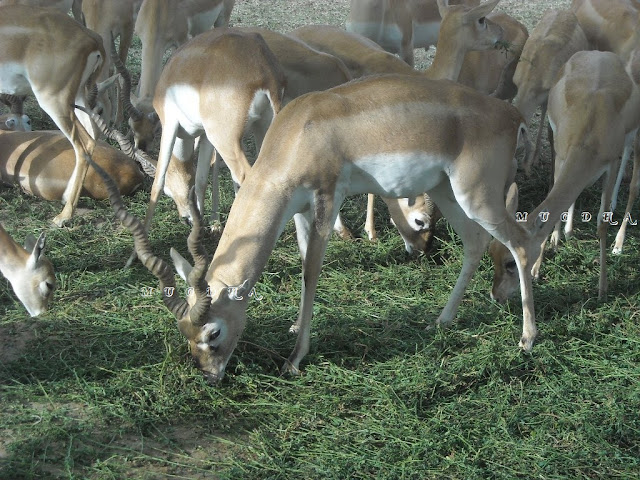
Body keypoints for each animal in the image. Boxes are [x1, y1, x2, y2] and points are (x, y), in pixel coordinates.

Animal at [0, 5, 105, 227]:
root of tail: (91, 38)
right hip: (78, 97)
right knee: (93, 133)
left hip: (53, 101)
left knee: (83, 145)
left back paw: (64, 216)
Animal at [99, 71, 536, 384]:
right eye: (184, 332)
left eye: (213, 334)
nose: (208, 376)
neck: (299, 134)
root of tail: (512, 115)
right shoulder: (299, 209)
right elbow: (301, 256)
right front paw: (295, 325)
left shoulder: (328, 198)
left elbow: (311, 271)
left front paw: (295, 358)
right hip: (448, 191)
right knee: (475, 243)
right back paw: (443, 320)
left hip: (476, 194)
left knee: (520, 242)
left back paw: (527, 339)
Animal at [488, 49, 636, 304]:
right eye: (492, 252)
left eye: (510, 262)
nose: (495, 296)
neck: (590, 128)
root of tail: (598, 53)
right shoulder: (561, 153)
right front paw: (539, 267)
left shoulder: (611, 163)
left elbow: (602, 223)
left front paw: (603, 288)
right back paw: (563, 233)